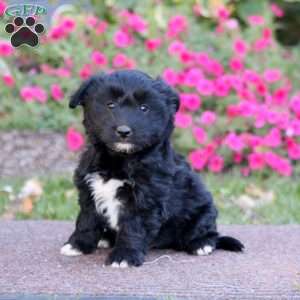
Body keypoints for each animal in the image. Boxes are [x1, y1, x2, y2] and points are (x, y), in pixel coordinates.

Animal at [61, 69, 244, 268]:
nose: (123, 131)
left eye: (144, 108)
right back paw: (106, 239)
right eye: (110, 104)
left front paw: (124, 256)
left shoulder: (145, 198)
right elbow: (86, 220)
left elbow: (133, 227)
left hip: (204, 210)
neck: (120, 159)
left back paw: (202, 244)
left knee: (208, 231)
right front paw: (78, 245)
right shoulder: (88, 190)